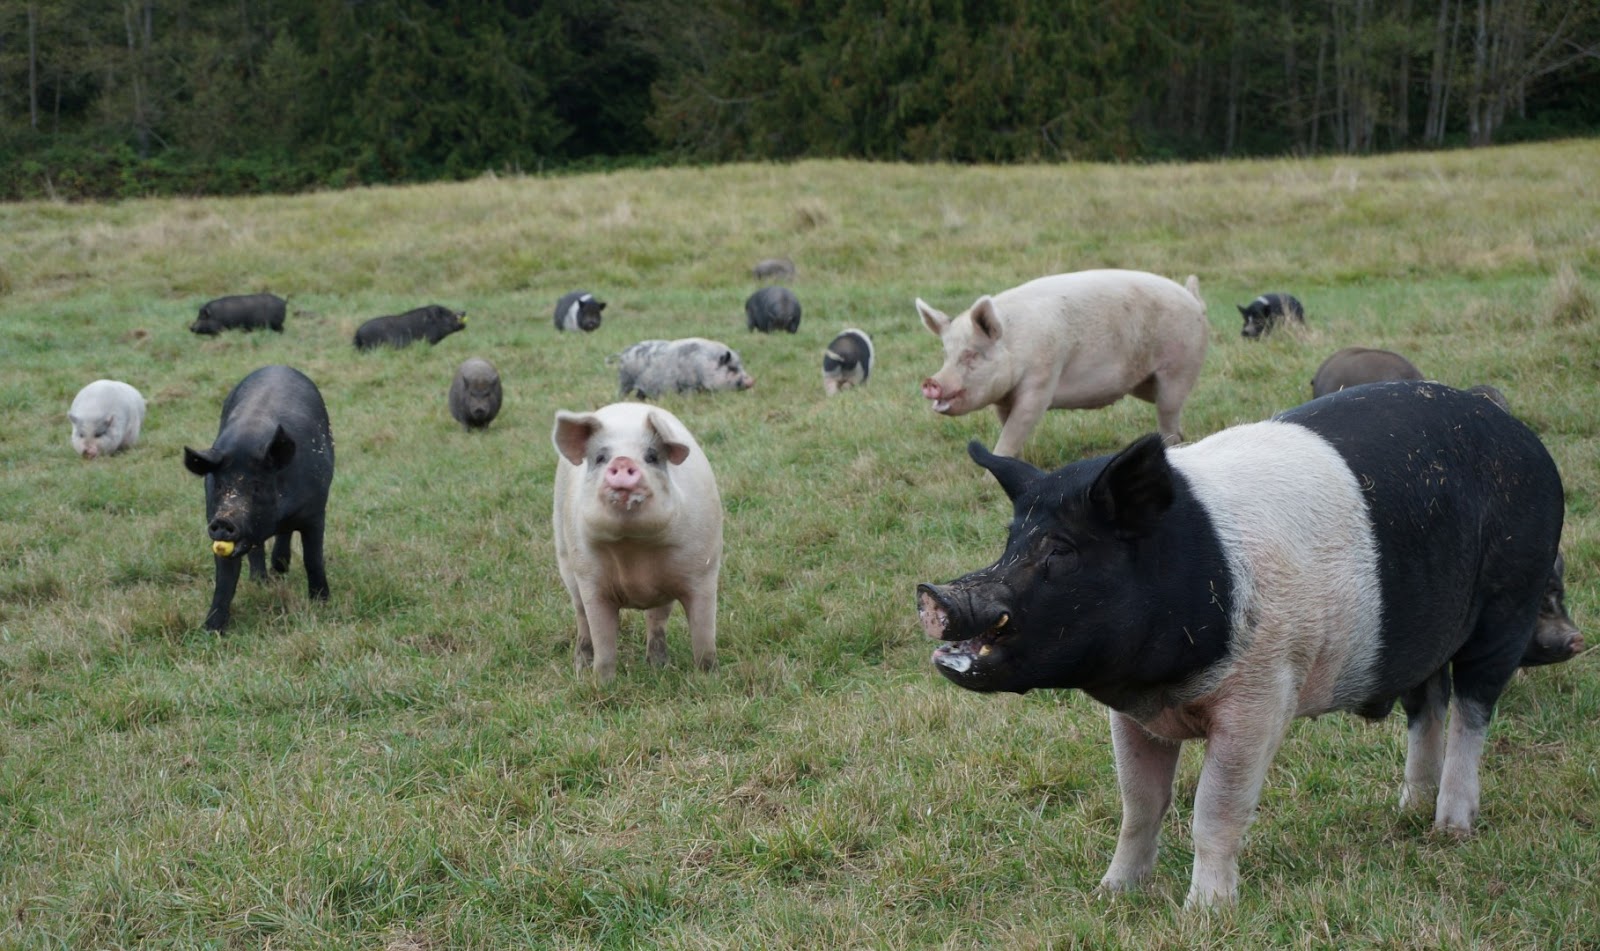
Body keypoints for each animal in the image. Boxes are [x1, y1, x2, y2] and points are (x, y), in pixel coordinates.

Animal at [183, 365, 335, 632]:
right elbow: (225, 579)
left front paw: (321, 603)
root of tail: (278, 366)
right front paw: (211, 630)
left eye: (257, 486)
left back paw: (279, 569)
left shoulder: (316, 511)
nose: (223, 521)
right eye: (220, 486)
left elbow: (313, 558)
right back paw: (262, 580)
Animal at [551, 402, 723, 681]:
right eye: (600, 458)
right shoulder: (590, 579)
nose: (622, 460)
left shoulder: (704, 571)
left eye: (652, 456)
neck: (633, 546)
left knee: (657, 618)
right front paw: (602, 683)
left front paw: (709, 678)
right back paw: (581, 667)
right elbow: (603, 640)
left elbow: (704, 635)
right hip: (565, 556)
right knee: (581, 616)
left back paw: (659, 666)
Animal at [614, 338, 756, 399]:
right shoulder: (688, 385)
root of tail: (623, 353)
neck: (703, 365)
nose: (751, 381)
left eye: (741, 366)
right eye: (732, 368)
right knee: (622, 393)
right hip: (625, 381)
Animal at [916, 380, 1564, 908]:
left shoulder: (1262, 691)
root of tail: (1515, 430)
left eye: (1060, 550)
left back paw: (1450, 828)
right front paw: (1111, 894)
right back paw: (1409, 809)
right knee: (1427, 703)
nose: (933, 594)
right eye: (1010, 541)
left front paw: (1204, 914)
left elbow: (1214, 808)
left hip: (1511, 599)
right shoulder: (1131, 714)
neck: (1162, 687)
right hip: (1423, 629)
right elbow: (1139, 805)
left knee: (1472, 709)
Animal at [918, 269, 1209, 458]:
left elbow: (1014, 430)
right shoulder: (1002, 398)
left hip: (1177, 367)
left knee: (1168, 413)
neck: (1013, 345)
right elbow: (1007, 429)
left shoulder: (1041, 382)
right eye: (946, 354)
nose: (931, 382)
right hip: (1145, 383)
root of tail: (1193, 299)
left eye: (971, 355)